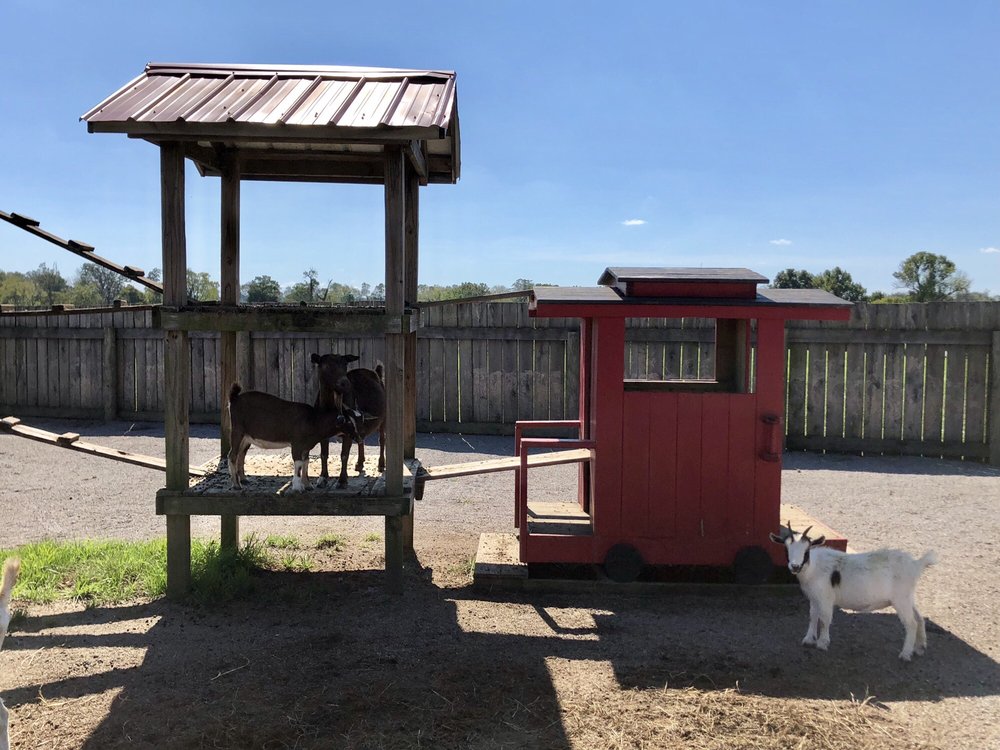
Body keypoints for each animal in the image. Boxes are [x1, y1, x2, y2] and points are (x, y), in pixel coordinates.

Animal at [227, 383, 356, 493]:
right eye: (349, 422)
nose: (357, 436)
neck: (313, 421)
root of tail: (234, 399)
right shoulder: (297, 444)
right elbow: (298, 463)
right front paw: (298, 487)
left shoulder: (305, 446)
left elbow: (305, 462)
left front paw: (308, 485)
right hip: (237, 430)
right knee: (232, 455)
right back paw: (236, 485)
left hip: (246, 437)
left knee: (241, 453)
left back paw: (243, 479)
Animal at [311, 353, 386, 488]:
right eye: (326, 365)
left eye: (345, 364)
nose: (345, 383)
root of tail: (376, 372)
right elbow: (323, 454)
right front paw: (323, 477)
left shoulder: (348, 431)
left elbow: (344, 455)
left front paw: (342, 481)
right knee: (362, 438)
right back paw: (360, 463)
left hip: (384, 416)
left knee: (382, 438)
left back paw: (381, 464)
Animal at [770, 523, 937, 661]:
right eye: (786, 548)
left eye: (806, 550)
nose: (795, 566)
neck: (813, 567)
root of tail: (916, 564)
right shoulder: (814, 597)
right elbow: (813, 616)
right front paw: (809, 639)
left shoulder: (825, 597)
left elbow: (824, 619)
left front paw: (822, 643)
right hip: (907, 597)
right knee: (919, 618)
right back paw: (919, 648)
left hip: (901, 599)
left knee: (911, 623)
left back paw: (905, 654)